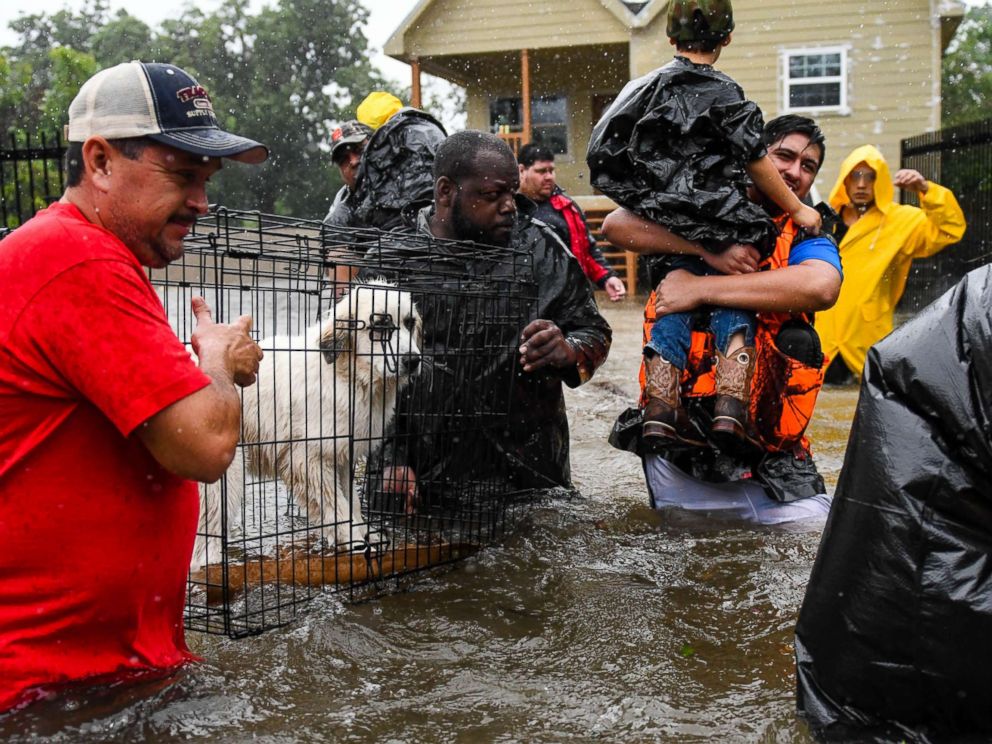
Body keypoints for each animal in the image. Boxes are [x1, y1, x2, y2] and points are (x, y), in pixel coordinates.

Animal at [191, 278, 422, 568]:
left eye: (410, 323)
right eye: (380, 325)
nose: (414, 360)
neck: (346, 375)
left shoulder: (340, 455)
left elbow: (352, 501)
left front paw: (363, 531)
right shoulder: (307, 459)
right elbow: (336, 506)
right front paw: (353, 540)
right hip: (222, 480)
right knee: (202, 545)